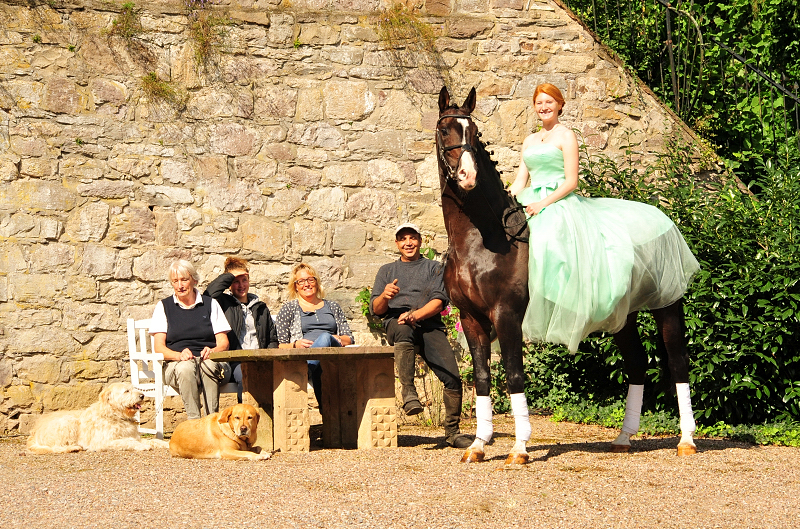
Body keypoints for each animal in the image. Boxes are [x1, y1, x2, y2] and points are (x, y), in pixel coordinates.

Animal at [26, 382, 169, 452]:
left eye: (133, 389)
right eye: (126, 391)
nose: (142, 396)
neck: (115, 415)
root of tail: (35, 432)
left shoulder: (134, 436)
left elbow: (152, 440)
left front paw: (165, 443)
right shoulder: (103, 442)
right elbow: (126, 441)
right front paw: (141, 446)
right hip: (68, 421)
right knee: (56, 448)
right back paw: (72, 448)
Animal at [438, 86, 700, 462]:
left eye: (474, 133)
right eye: (446, 130)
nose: (467, 176)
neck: (484, 238)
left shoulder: (506, 315)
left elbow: (514, 376)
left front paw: (519, 448)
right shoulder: (471, 318)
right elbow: (483, 377)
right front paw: (477, 445)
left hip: (667, 307)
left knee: (678, 364)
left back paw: (687, 441)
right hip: (624, 316)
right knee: (637, 364)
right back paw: (624, 438)